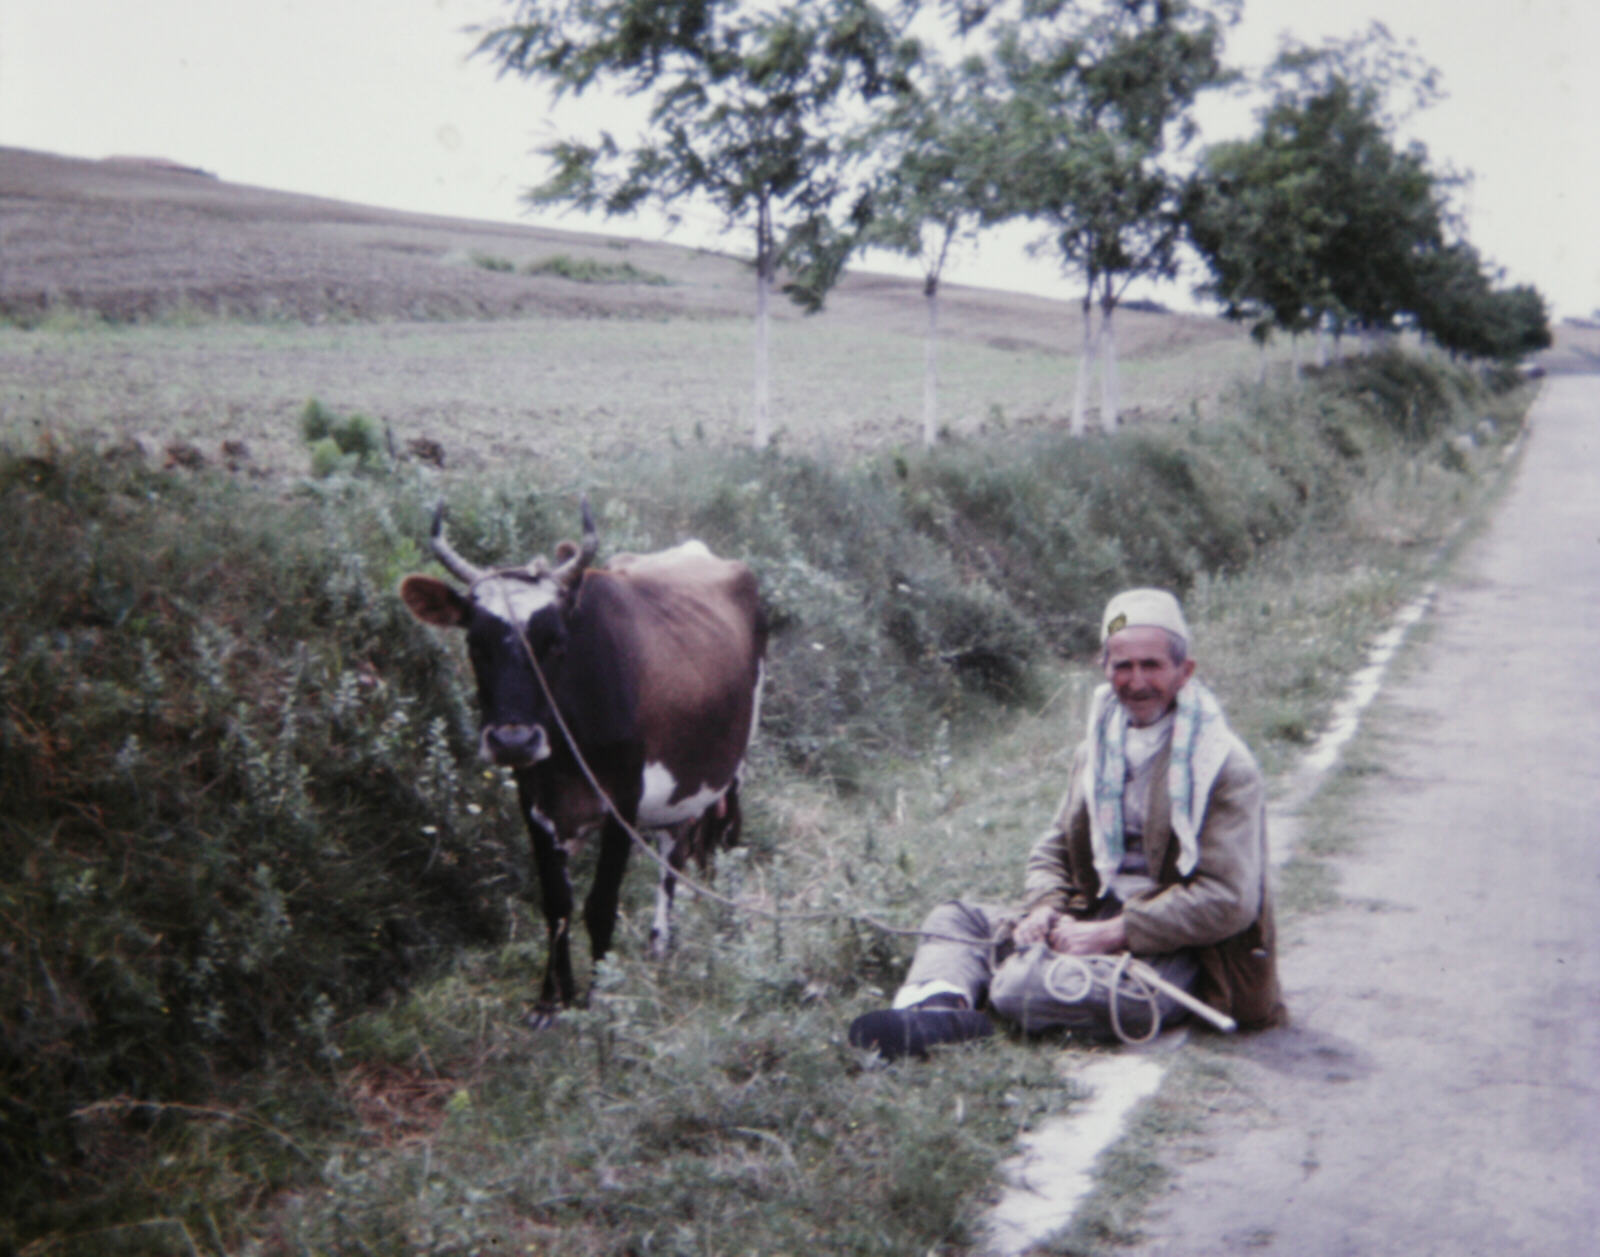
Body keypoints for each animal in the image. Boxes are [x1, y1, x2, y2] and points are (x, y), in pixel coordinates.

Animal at [406, 495, 768, 1010]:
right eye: (475, 644)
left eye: (556, 642)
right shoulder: (534, 802)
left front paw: (600, 999)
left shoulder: (623, 801)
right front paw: (551, 1000)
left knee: (722, 836)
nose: (513, 740)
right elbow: (556, 903)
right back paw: (659, 943)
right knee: (674, 850)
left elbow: (601, 905)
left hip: (733, 766)